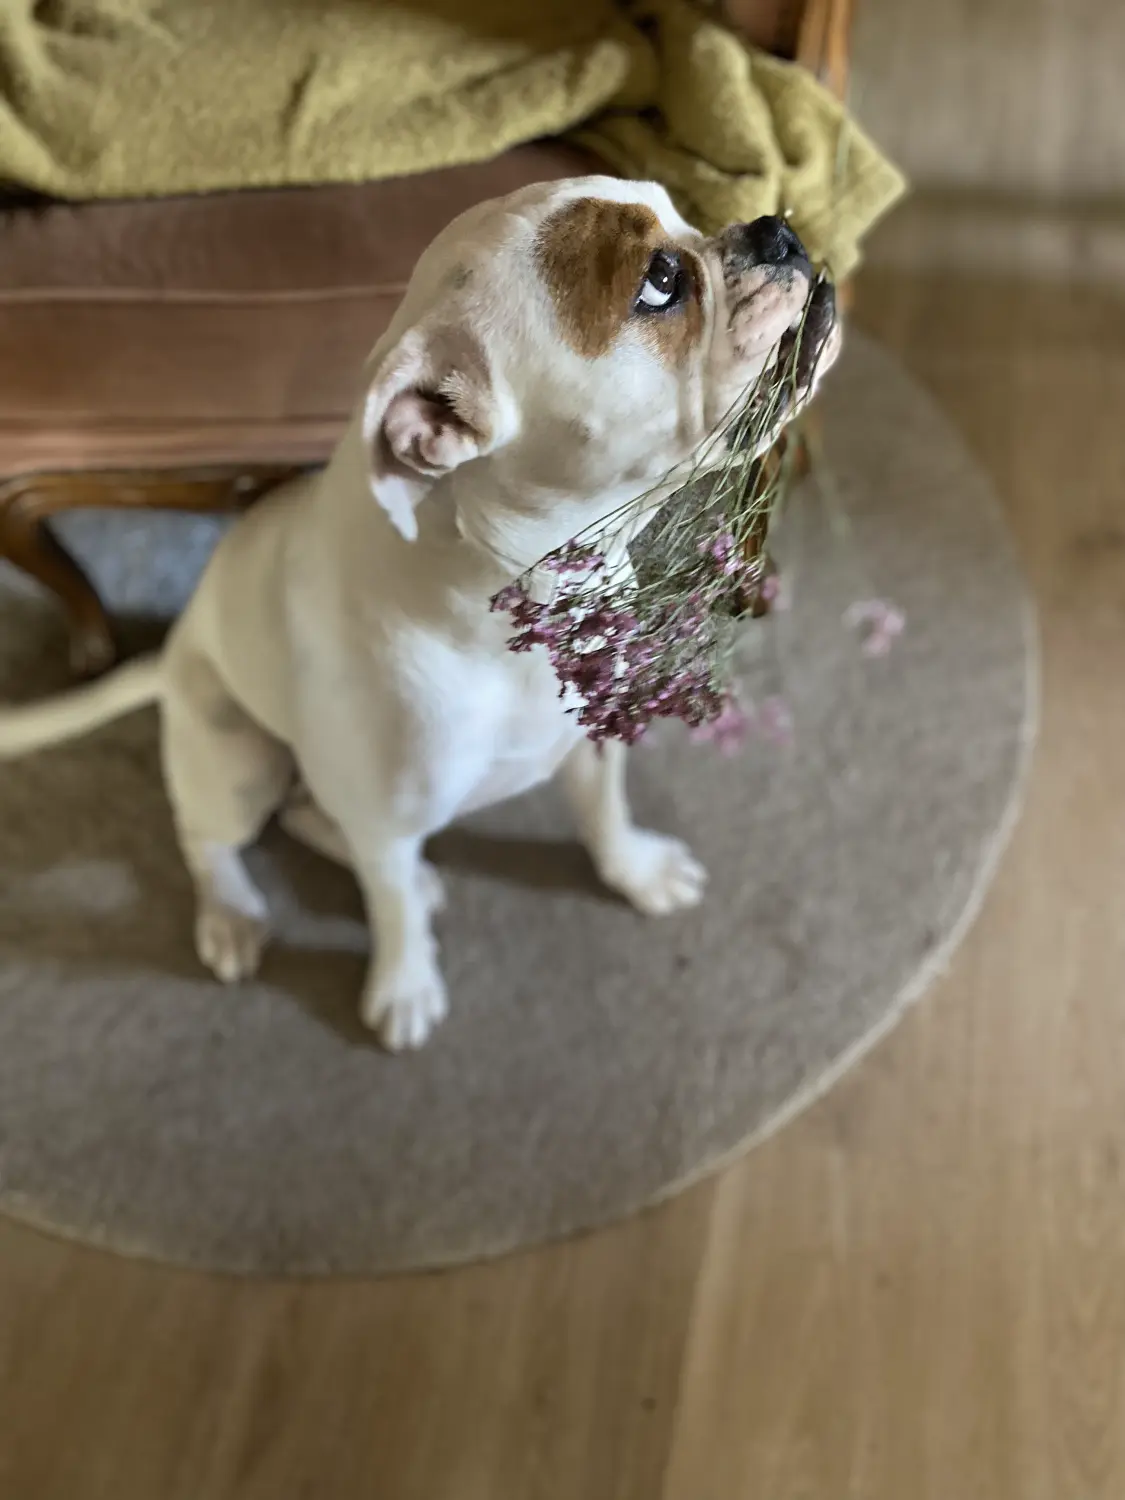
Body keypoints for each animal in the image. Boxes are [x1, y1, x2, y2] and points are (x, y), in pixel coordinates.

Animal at [0, 178, 840, 1044]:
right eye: (661, 281)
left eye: (683, 212)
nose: (774, 232)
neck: (514, 599)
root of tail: (170, 659)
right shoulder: (383, 816)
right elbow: (392, 909)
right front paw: (404, 986)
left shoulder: (594, 742)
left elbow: (604, 813)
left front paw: (634, 872)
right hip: (236, 760)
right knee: (214, 840)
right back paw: (230, 915)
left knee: (311, 822)